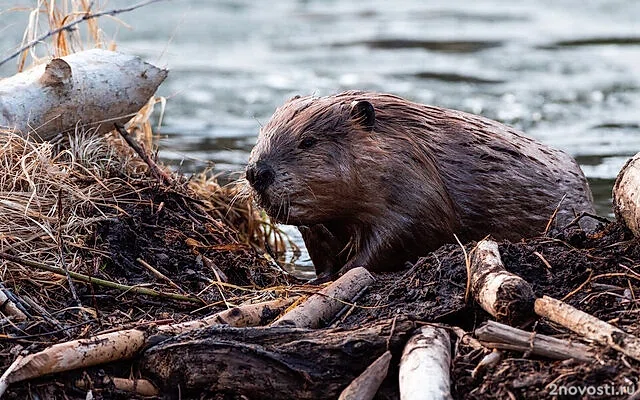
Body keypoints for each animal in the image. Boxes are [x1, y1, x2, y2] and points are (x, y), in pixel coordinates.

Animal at [245, 90, 596, 282]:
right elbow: (320, 246)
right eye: (263, 133)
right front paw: (319, 277)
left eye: (308, 141)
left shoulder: (416, 192)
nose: (256, 172)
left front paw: (346, 272)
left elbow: (398, 236)